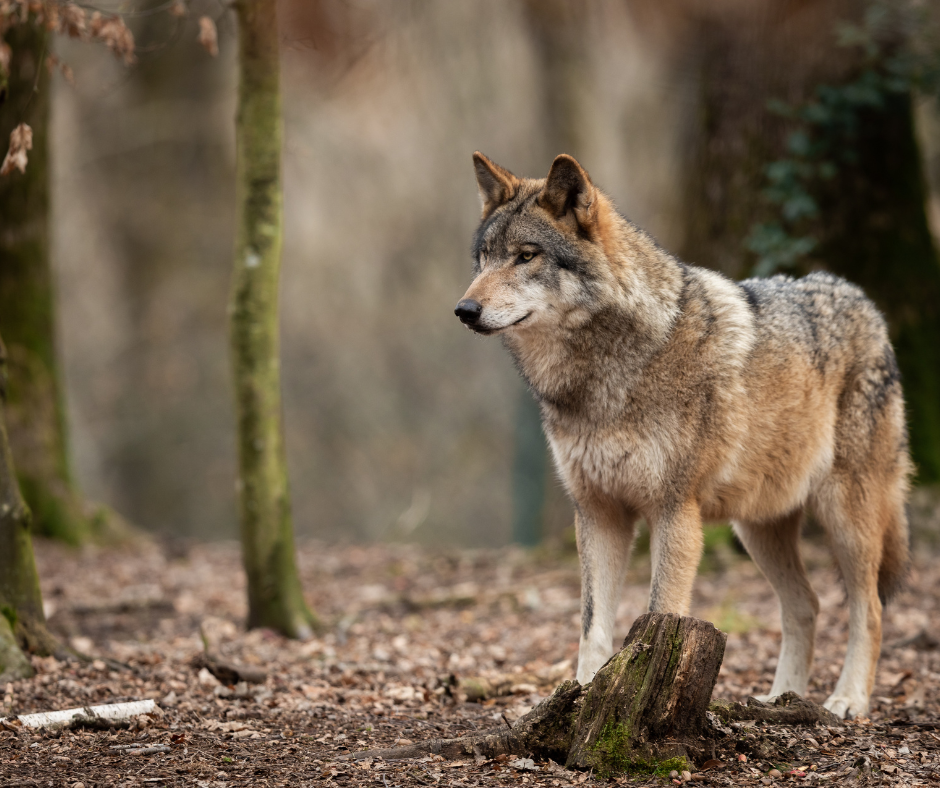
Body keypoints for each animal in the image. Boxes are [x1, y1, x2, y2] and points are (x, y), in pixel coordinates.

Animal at [456, 151, 912, 716]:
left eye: (525, 256)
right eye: (483, 259)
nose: (464, 310)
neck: (604, 376)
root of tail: (863, 300)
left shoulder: (674, 512)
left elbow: (658, 613)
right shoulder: (598, 513)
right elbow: (592, 627)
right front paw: (582, 698)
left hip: (846, 519)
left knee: (869, 609)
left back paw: (847, 701)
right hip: (757, 528)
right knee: (806, 604)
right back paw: (779, 699)